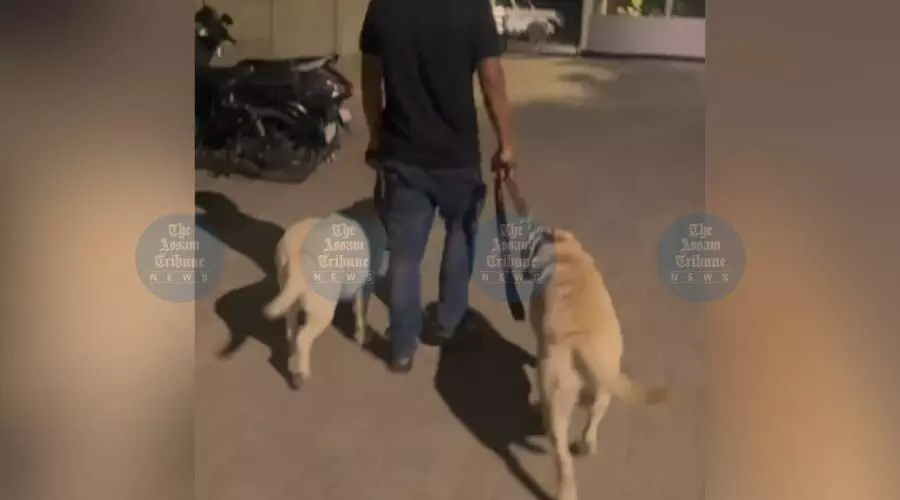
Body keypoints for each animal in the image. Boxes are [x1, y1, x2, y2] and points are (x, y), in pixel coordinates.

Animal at [262, 201, 383, 389]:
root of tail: (298, 255)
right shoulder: (366, 283)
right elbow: (362, 311)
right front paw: (362, 336)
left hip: (291, 295)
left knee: (291, 328)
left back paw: (293, 356)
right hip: (322, 309)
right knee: (303, 338)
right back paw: (300, 375)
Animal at [526, 227, 668, 500]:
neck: (567, 255)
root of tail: (581, 342)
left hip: (558, 390)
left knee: (562, 455)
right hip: (606, 380)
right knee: (593, 419)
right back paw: (587, 443)